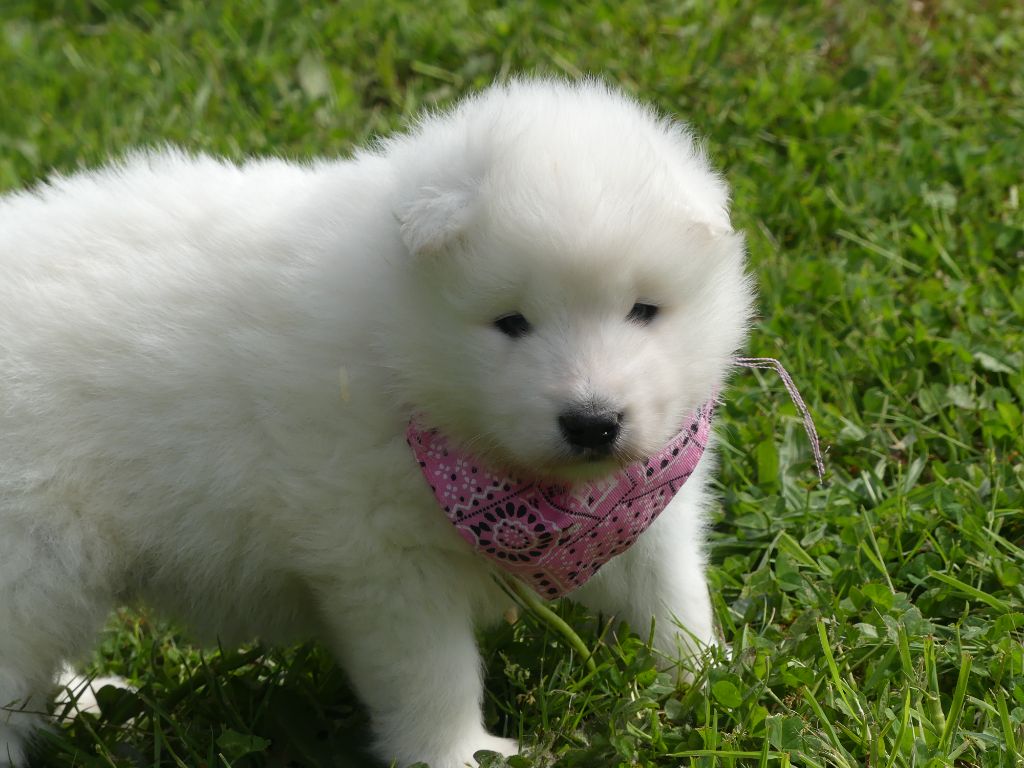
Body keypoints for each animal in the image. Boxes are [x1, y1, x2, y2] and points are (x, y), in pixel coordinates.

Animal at [0, 78, 753, 767]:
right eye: (511, 322)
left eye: (644, 310)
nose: (593, 423)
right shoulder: (382, 559)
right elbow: (431, 675)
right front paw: (458, 755)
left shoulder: (646, 504)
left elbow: (670, 591)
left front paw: (705, 678)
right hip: (32, 560)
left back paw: (82, 701)